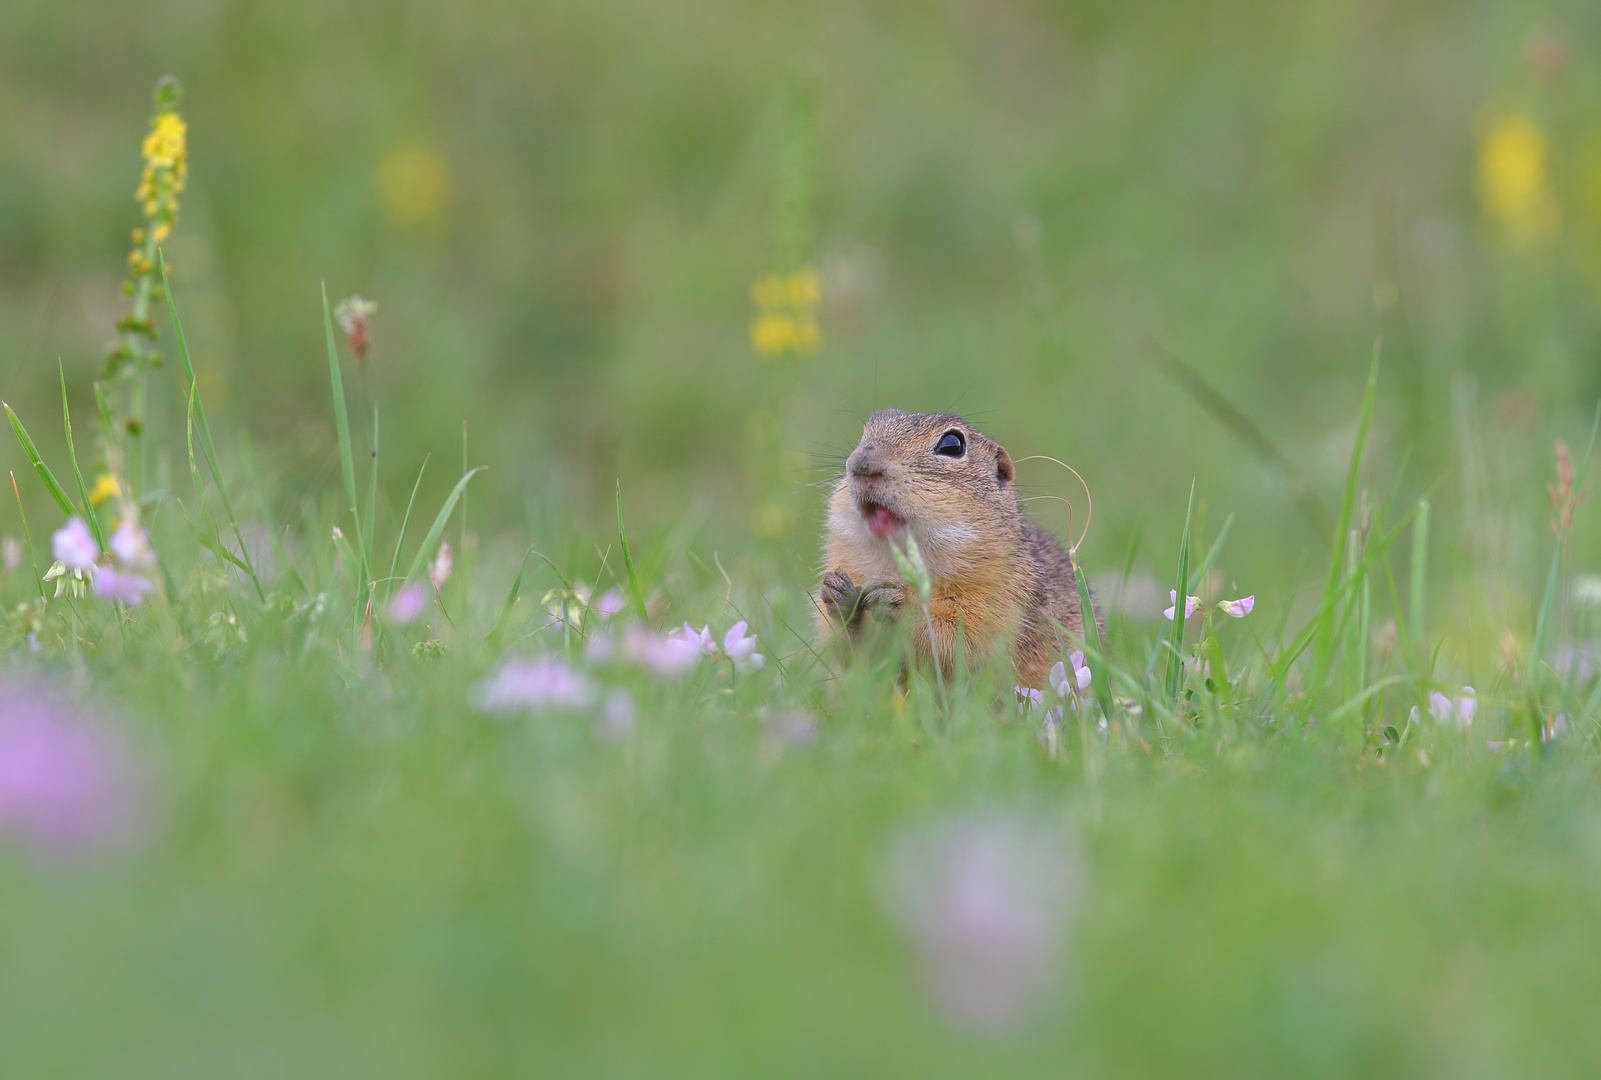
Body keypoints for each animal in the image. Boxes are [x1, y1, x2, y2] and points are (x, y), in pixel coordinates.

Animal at [813, 406, 1101, 694]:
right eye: (866, 431)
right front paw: (837, 593)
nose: (861, 464)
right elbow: (855, 654)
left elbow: (959, 643)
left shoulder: (1002, 603)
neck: (893, 561)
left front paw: (899, 600)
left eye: (952, 445)